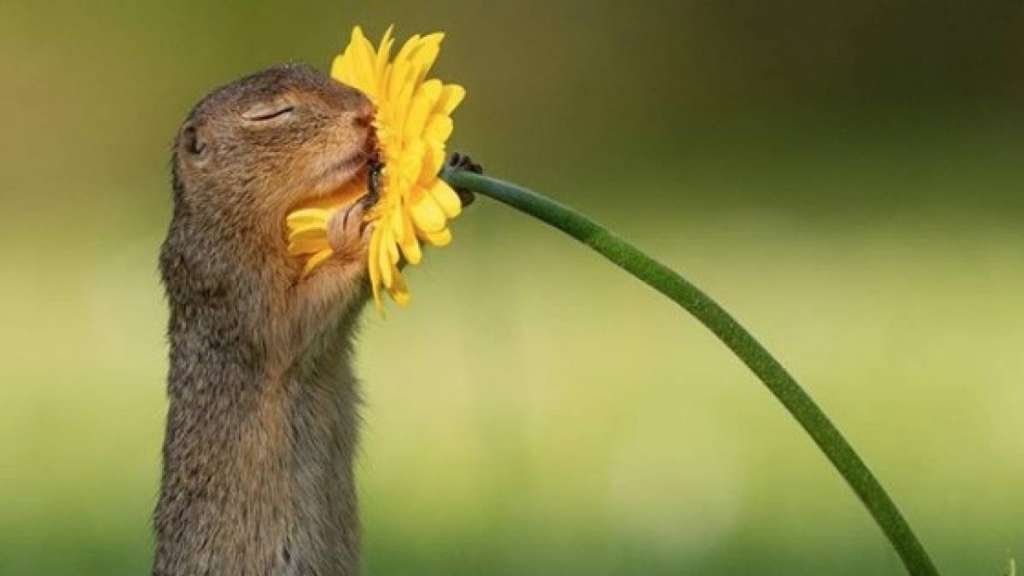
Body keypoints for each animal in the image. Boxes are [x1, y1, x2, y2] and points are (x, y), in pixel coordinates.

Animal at [154, 63, 477, 576]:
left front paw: (457, 172)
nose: (366, 113)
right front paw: (362, 224)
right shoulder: (234, 285)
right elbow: (296, 318)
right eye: (272, 113)